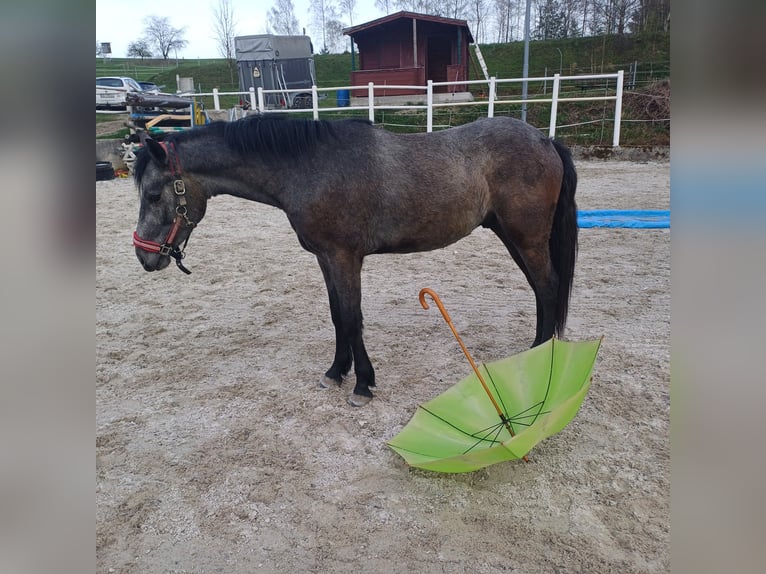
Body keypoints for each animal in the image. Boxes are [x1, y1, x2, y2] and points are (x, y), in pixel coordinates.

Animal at [132, 115, 580, 408]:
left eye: (153, 194)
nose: (144, 256)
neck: (310, 167)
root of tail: (546, 140)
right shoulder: (327, 259)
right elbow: (337, 316)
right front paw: (336, 371)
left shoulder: (344, 257)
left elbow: (351, 317)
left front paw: (362, 383)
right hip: (512, 236)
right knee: (542, 289)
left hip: (526, 238)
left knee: (547, 287)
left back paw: (540, 357)